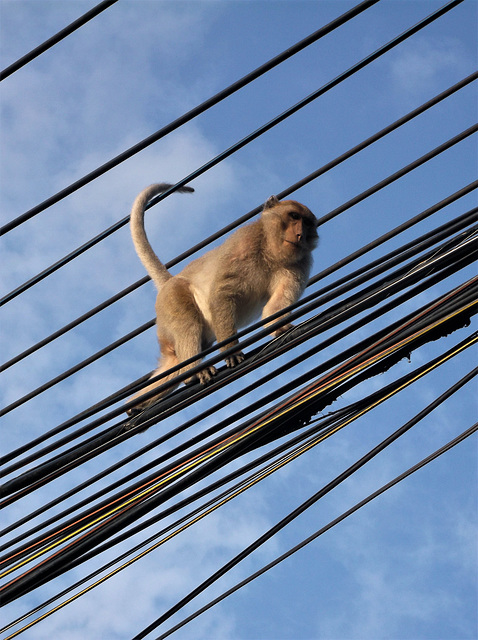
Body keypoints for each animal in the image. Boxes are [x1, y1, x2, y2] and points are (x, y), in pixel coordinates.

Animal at [128, 182, 318, 412]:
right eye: (293, 216)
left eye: (307, 223)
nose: (300, 234)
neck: (271, 251)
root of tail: (170, 281)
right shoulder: (244, 243)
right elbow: (222, 293)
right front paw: (230, 351)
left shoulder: (300, 263)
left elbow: (274, 306)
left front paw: (280, 327)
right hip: (172, 299)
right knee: (187, 322)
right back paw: (193, 373)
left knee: (173, 362)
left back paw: (137, 403)